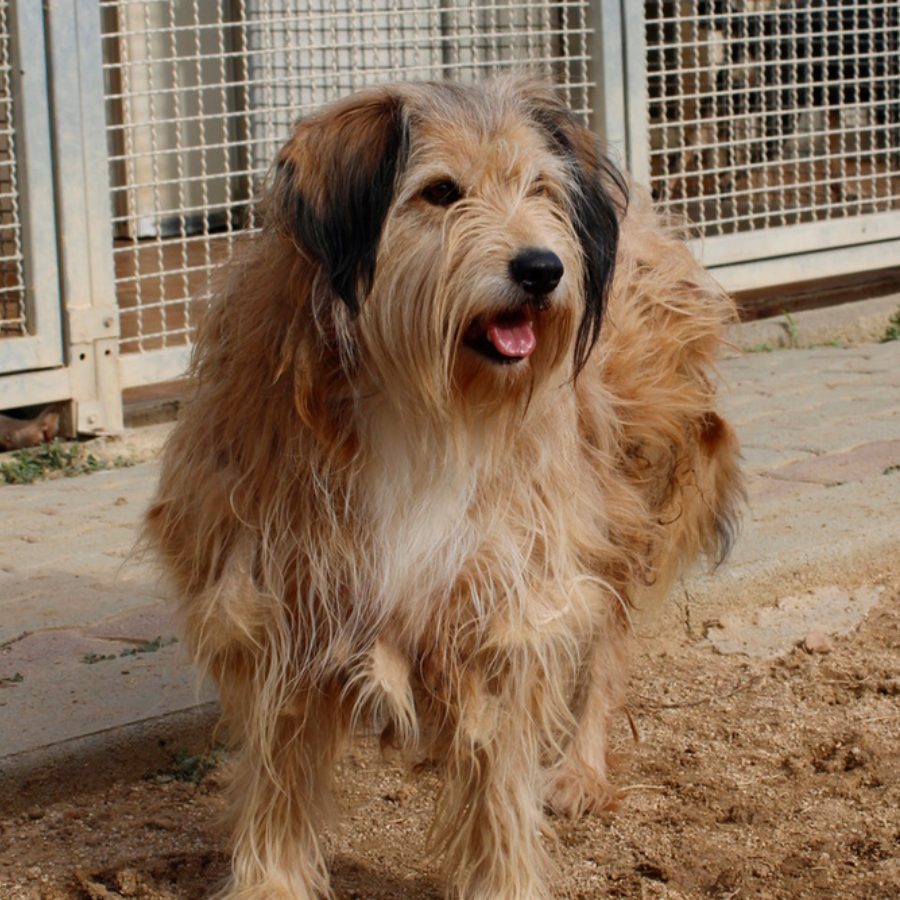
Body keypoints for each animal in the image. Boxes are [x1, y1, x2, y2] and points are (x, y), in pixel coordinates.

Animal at [145, 78, 743, 899]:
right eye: (440, 192)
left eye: (539, 189)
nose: (542, 269)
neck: (430, 400)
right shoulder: (281, 594)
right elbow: (277, 783)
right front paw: (271, 883)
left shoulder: (508, 589)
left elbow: (498, 786)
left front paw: (505, 878)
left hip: (623, 501)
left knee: (604, 646)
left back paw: (578, 771)